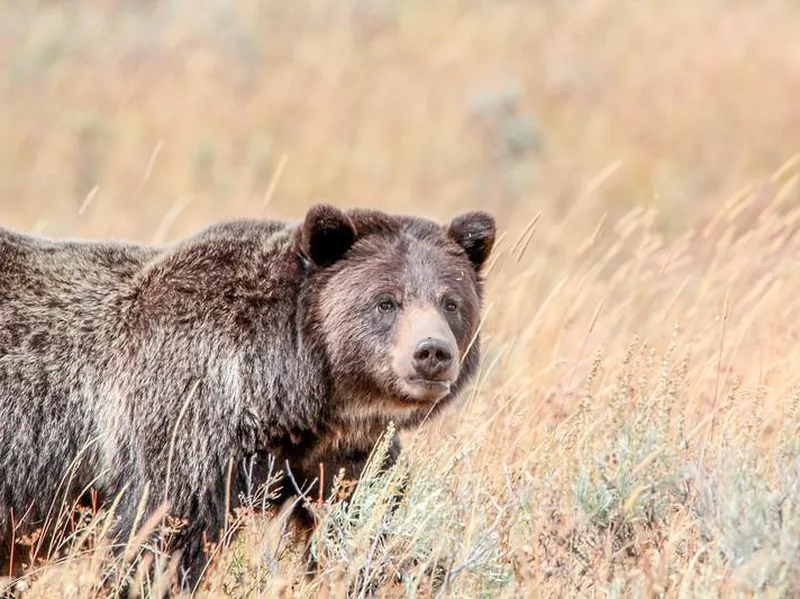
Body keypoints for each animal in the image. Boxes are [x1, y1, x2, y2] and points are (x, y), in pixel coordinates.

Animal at [0, 204, 494, 592]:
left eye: (450, 301)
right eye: (386, 301)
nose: (432, 352)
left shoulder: (341, 457)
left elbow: (364, 527)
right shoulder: (183, 423)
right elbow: (159, 538)